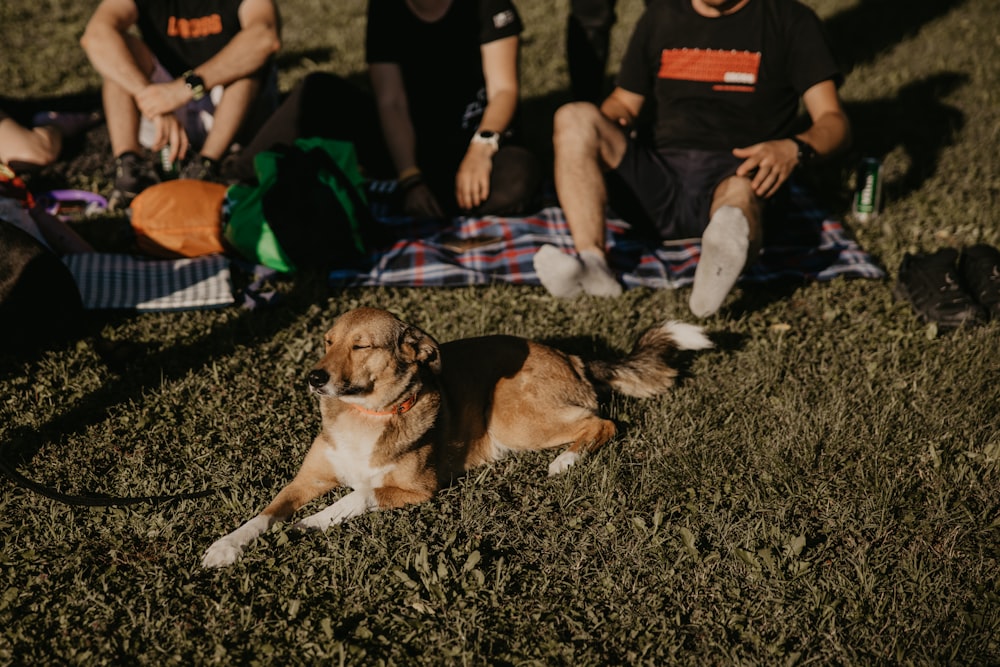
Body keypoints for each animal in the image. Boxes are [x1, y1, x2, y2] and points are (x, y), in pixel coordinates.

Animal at [201, 306, 712, 568]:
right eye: (327, 342)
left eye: (361, 346)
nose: (313, 378)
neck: (366, 413)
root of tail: (571, 356)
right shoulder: (304, 480)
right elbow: (263, 515)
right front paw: (225, 547)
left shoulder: (417, 490)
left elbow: (359, 494)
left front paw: (312, 523)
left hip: (512, 416)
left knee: (602, 423)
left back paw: (564, 461)